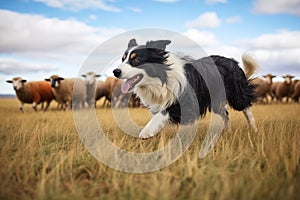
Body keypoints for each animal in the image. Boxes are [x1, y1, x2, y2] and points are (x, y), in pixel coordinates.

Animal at [113, 39, 258, 139]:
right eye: (123, 59)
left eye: (136, 59)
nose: (115, 72)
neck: (160, 79)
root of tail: (232, 61)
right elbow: (157, 116)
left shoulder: (186, 102)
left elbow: (164, 112)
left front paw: (146, 132)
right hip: (216, 100)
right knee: (225, 113)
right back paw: (227, 132)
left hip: (236, 94)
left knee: (246, 107)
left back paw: (253, 128)